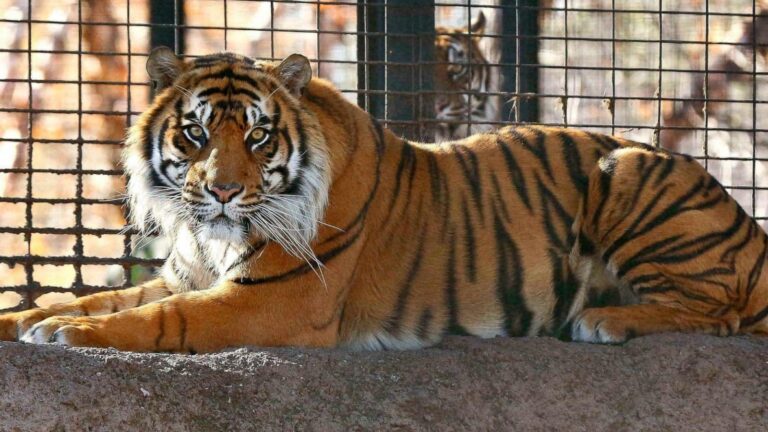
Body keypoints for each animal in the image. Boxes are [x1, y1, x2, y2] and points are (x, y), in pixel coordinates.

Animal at [1, 48, 766, 353]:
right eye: (194, 134)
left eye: (257, 135)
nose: (220, 191)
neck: (207, 235)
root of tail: (752, 233)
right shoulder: (185, 273)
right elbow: (100, 297)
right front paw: (27, 318)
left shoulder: (273, 300)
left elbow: (159, 320)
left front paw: (68, 335)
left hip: (626, 168)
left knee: (722, 313)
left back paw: (605, 320)